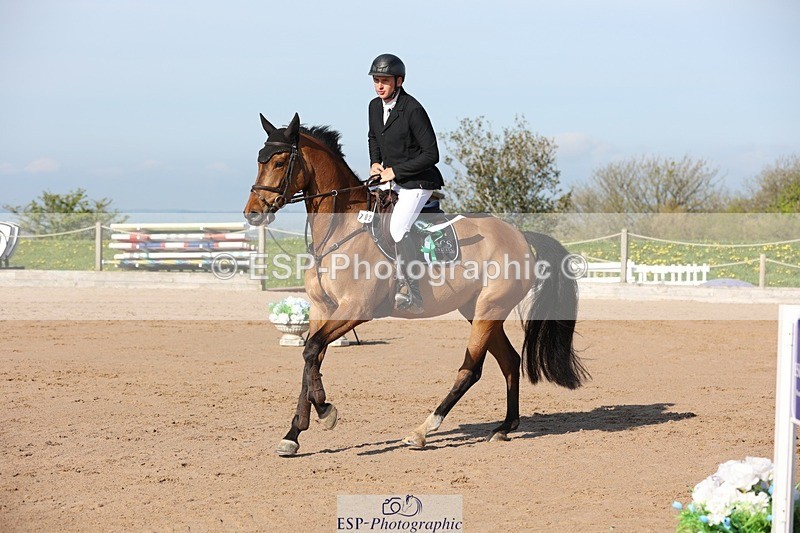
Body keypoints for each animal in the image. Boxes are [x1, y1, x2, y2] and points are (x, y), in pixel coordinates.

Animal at [243, 112, 588, 456]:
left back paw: (422, 431)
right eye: (259, 161)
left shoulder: (356, 309)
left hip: (489, 309)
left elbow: (312, 350)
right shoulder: (321, 310)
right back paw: (504, 427)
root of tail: (519, 236)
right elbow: (309, 358)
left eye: (279, 162)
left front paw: (326, 412)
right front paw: (294, 434)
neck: (341, 229)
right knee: (510, 361)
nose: (253, 213)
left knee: (471, 370)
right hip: (477, 310)